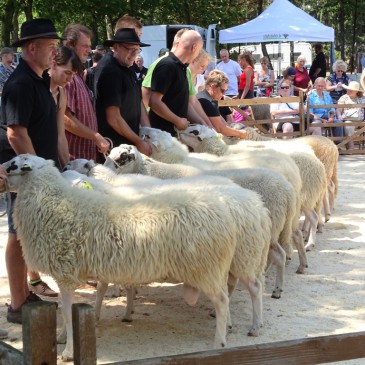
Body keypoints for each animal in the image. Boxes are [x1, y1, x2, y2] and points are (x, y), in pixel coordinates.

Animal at [2, 153, 270, 358]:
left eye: (13, 164)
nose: (0, 175)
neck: (56, 204)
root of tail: (256, 204)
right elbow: (99, 294)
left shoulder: (66, 275)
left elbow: (68, 314)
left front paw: (67, 351)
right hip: (228, 262)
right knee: (236, 290)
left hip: (215, 265)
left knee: (234, 295)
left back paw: (227, 338)